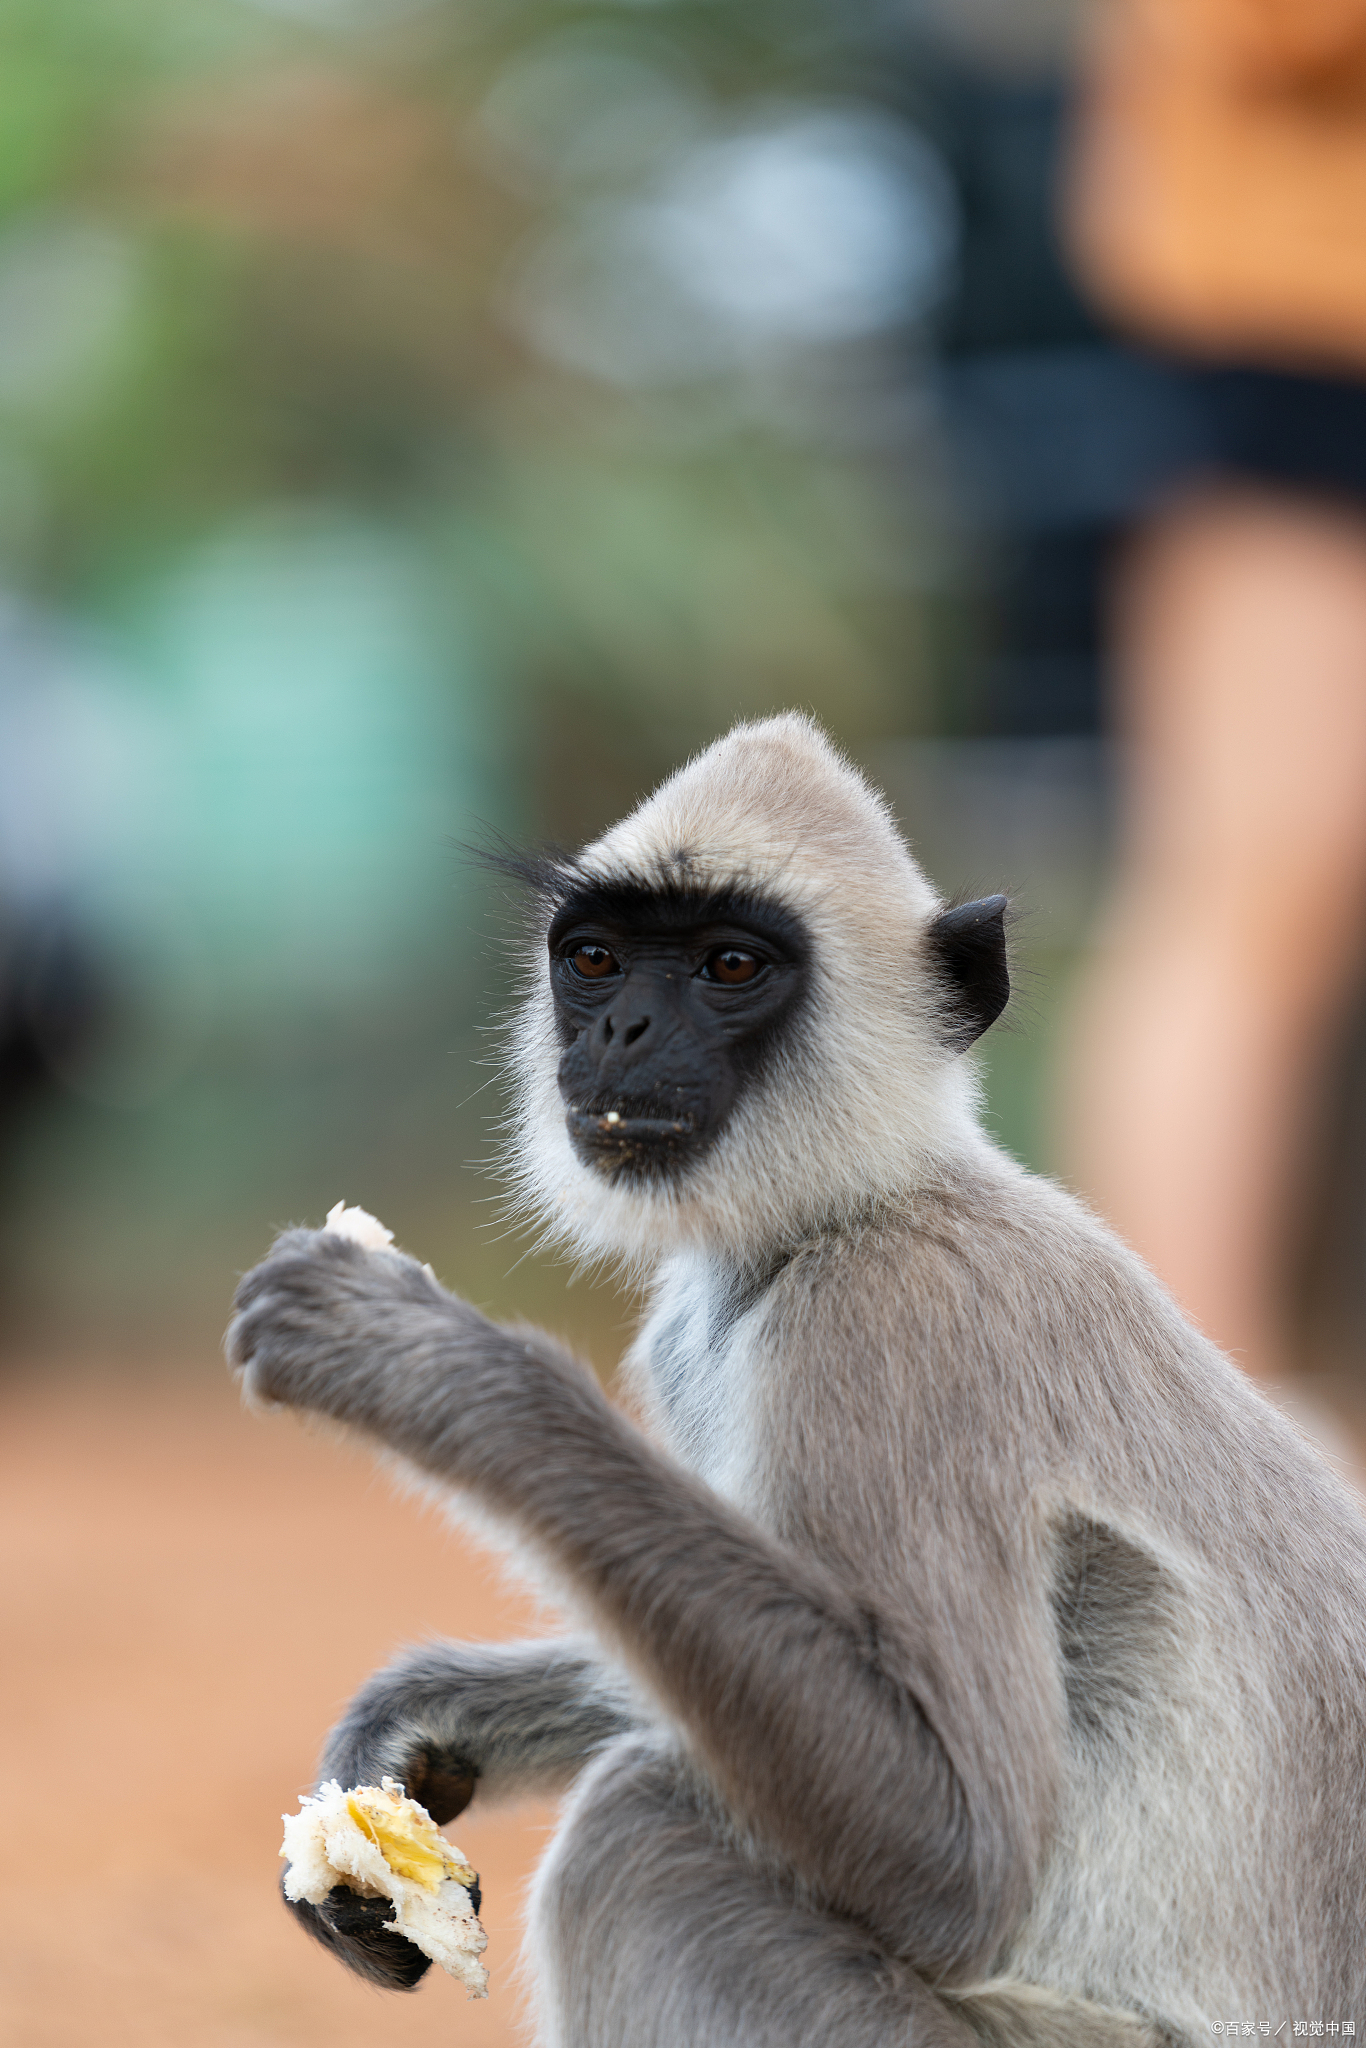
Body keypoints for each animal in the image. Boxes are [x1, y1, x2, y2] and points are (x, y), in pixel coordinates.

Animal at [229, 712, 1366, 2039]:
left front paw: (437, 1366)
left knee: (636, 1836)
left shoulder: (891, 1320)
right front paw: (419, 1717)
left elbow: (962, 1861)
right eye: (596, 961)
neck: (849, 1210)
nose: (616, 1033)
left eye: (728, 966)